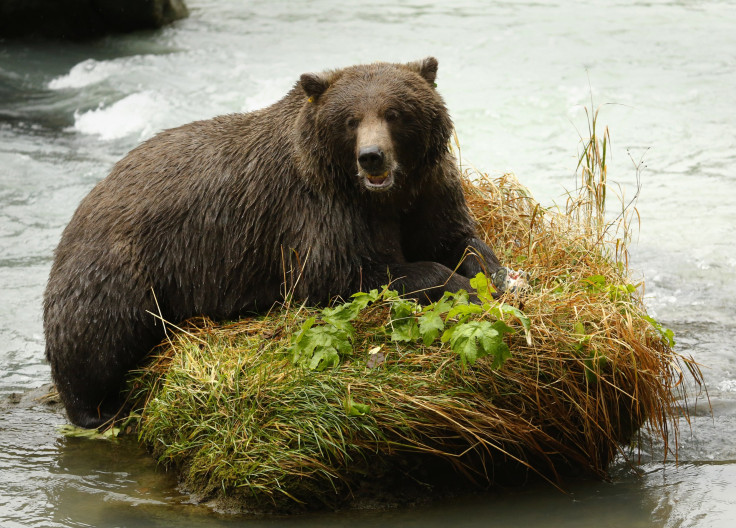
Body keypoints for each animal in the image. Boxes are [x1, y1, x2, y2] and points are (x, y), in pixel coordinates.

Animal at [44, 57, 506, 428]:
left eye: (394, 112)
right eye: (351, 119)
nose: (371, 156)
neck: (382, 196)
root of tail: (87, 200)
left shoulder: (428, 191)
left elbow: (458, 239)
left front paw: (495, 276)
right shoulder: (320, 211)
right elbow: (349, 272)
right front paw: (457, 285)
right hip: (122, 266)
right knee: (96, 338)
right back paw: (98, 410)